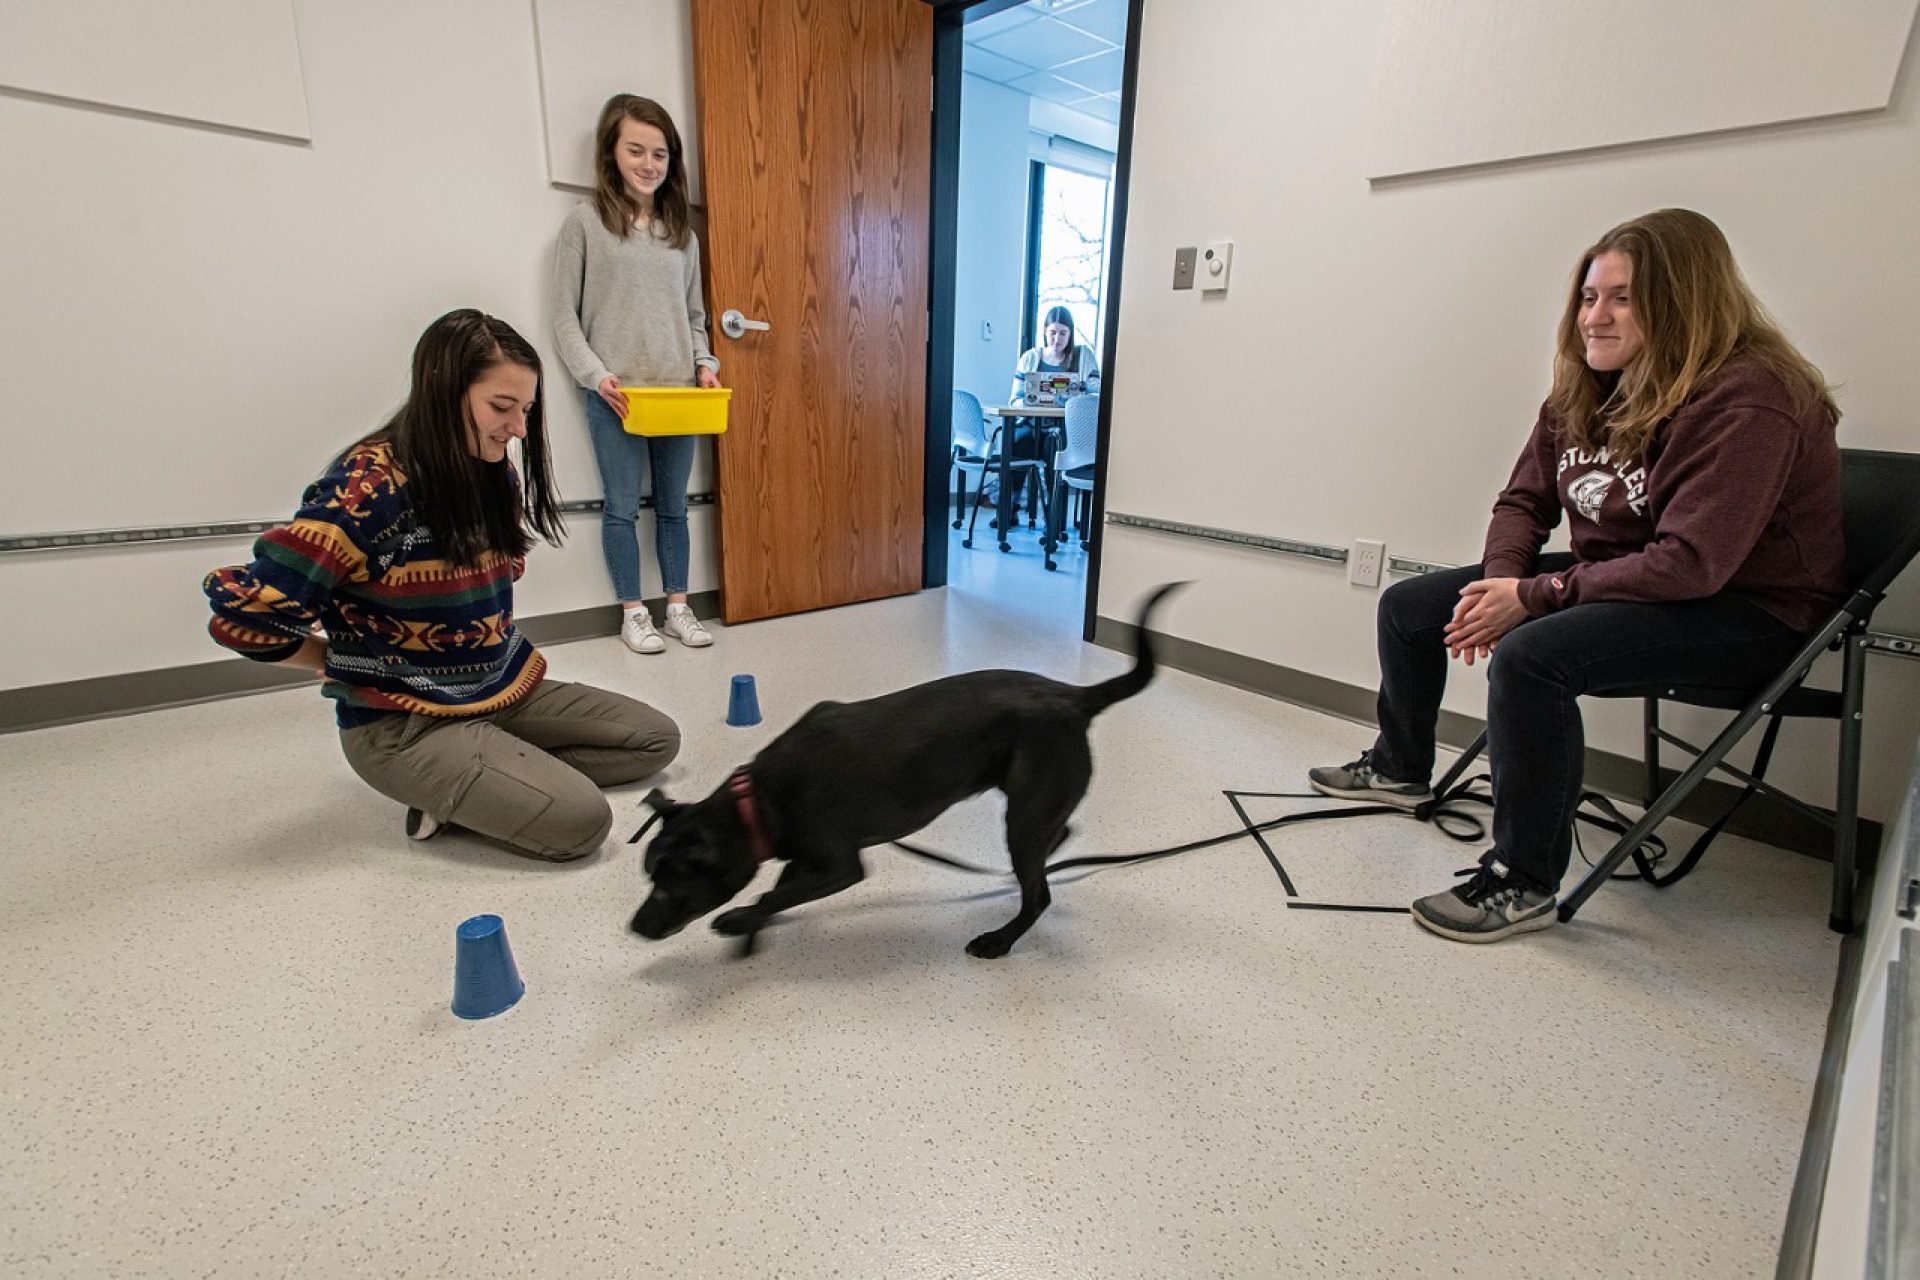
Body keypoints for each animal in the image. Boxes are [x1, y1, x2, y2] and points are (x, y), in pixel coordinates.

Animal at [629, 587, 1182, 955]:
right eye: (649, 875)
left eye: (670, 882)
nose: (635, 927)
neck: (758, 801)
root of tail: (1073, 696)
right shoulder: (805, 858)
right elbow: (780, 889)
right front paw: (751, 929)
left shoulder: (841, 866)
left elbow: (772, 892)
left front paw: (742, 922)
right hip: (1033, 807)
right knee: (1058, 835)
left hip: (1026, 812)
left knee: (1039, 894)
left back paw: (999, 940)